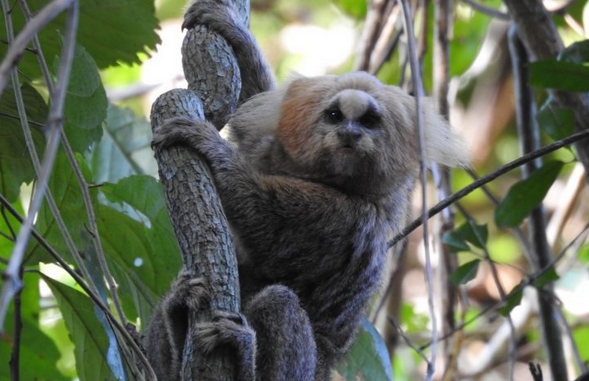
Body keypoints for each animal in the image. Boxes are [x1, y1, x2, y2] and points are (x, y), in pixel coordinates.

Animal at [147, 0, 468, 378]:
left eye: (369, 121)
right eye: (334, 115)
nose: (349, 133)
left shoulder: (344, 218)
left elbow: (265, 224)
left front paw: (210, 145)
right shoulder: (273, 152)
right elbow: (251, 116)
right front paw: (234, 34)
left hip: (309, 368)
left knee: (280, 302)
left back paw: (243, 354)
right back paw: (175, 320)